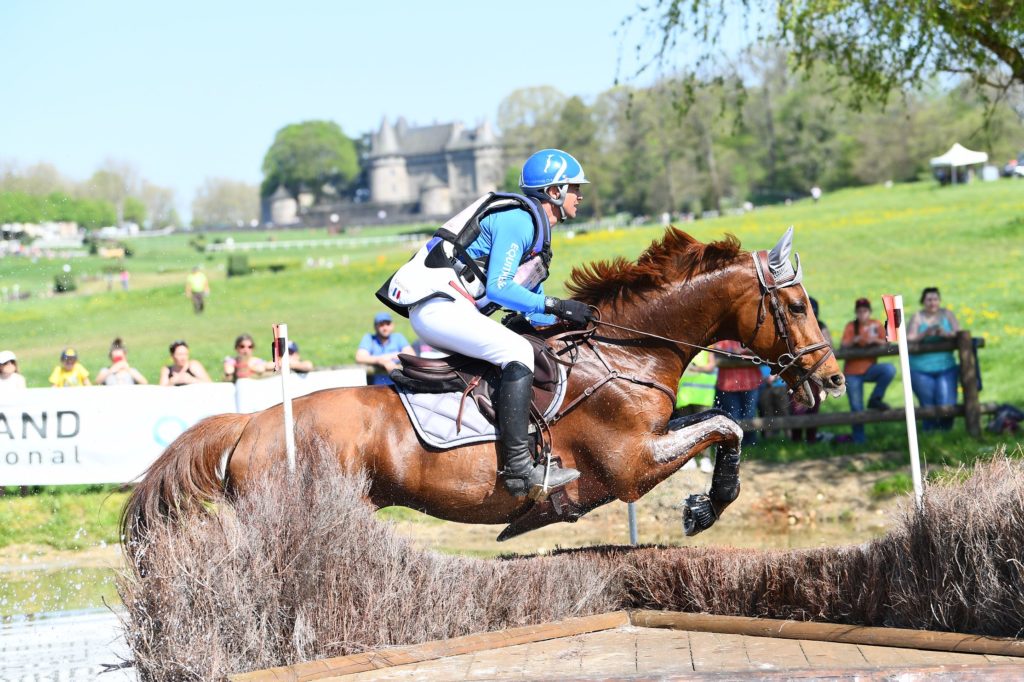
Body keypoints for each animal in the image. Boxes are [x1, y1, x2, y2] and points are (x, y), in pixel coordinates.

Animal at [121, 225, 839, 548]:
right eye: (796, 305)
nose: (830, 376)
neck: (623, 348)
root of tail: (249, 423)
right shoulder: (630, 466)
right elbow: (726, 424)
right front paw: (703, 509)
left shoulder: (654, 436)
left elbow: (717, 419)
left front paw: (705, 502)